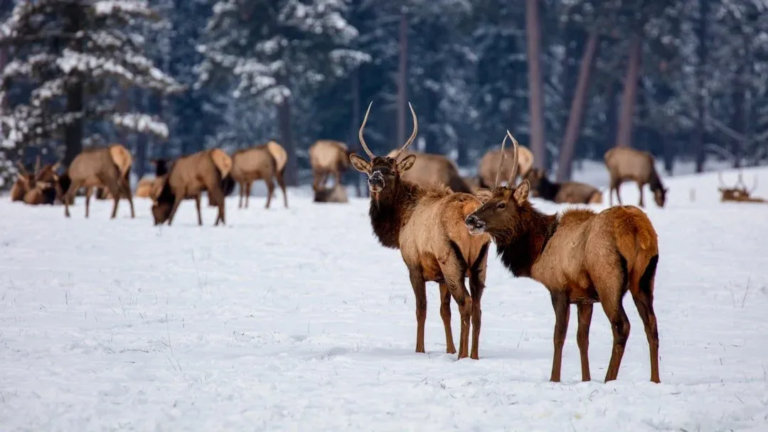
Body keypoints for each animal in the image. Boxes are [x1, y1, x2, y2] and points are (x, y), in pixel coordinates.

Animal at [349, 102, 491, 360]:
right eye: (370, 170)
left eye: (392, 171)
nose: (374, 181)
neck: (400, 221)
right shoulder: (440, 277)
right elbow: (444, 311)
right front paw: (449, 348)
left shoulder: (414, 264)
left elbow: (421, 309)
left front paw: (420, 349)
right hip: (481, 262)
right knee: (477, 307)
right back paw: (473, 355)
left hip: (451, 259)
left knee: (465, 303)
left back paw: (463, 355)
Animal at [465, 131, 661, 383]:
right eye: (485, 201)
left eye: (501, 204)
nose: (471, 220)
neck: (538, 251)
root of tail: (637, 229)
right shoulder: (585, 298)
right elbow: (582, 339)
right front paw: (585, 379)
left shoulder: (558, 288)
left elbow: (559, 336)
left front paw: (554, 378)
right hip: (645, 279)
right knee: (652, 326)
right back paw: (655, 379)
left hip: (609, 280)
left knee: (622, 326)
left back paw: (609, 378)